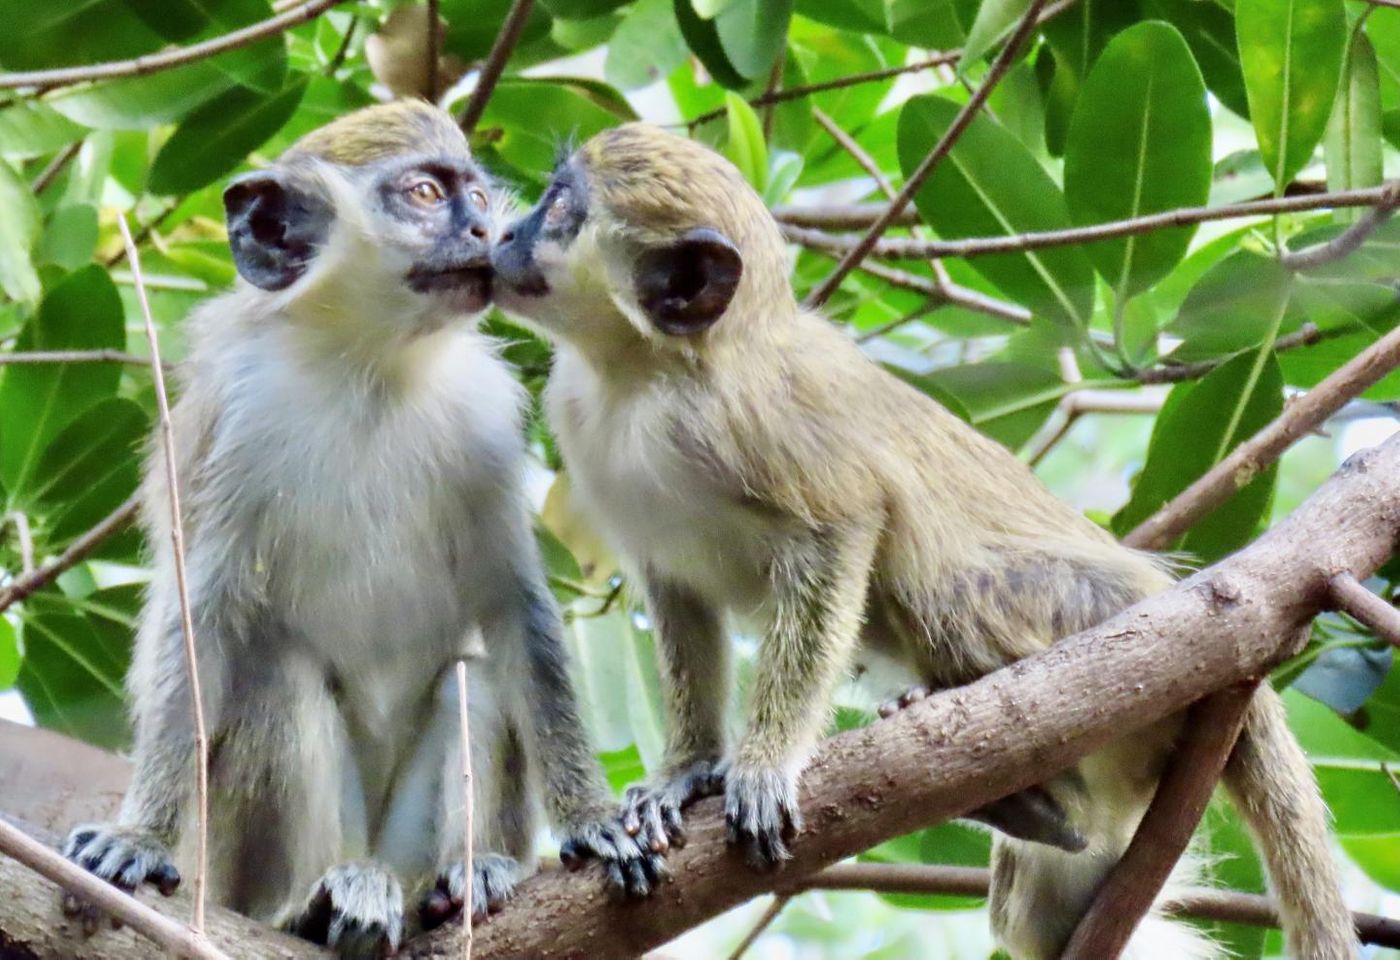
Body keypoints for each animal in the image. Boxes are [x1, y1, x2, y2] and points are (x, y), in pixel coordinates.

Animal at [60, 101, 660, 957]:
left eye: (479, 196)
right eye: (424, 193)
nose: (485, 230)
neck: (370, 364)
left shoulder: (485, 419)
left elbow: (517, 610)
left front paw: (593, 820)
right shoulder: (237, 417)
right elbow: (201, 620)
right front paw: (139, 836)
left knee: (473, 681)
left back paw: (461, 882)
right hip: (243, 859)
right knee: (277, 676)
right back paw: (312, 905)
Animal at [490, 125, 1355, 960]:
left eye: (559, 205)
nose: (501, 236)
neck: (642, 379)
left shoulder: (747, 422)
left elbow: (843, 525)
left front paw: (763, 762)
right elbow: (679, 593)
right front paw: (686, 772)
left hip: (1083, 612)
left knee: (940, 587)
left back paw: (1037, 796)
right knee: (1035, 918)